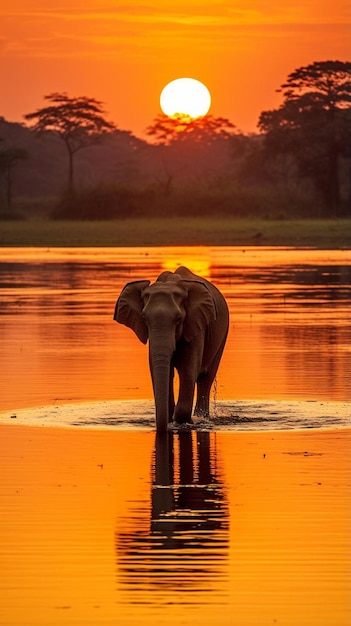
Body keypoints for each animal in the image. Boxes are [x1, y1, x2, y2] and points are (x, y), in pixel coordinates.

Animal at [115, 266, 230, 432]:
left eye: (178, 319)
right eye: (144, 319)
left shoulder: (195, 326)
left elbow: (188, 369)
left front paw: (182, 423)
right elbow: (158, 369)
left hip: (222, 335)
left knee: (205, 379)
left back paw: (202, 418)